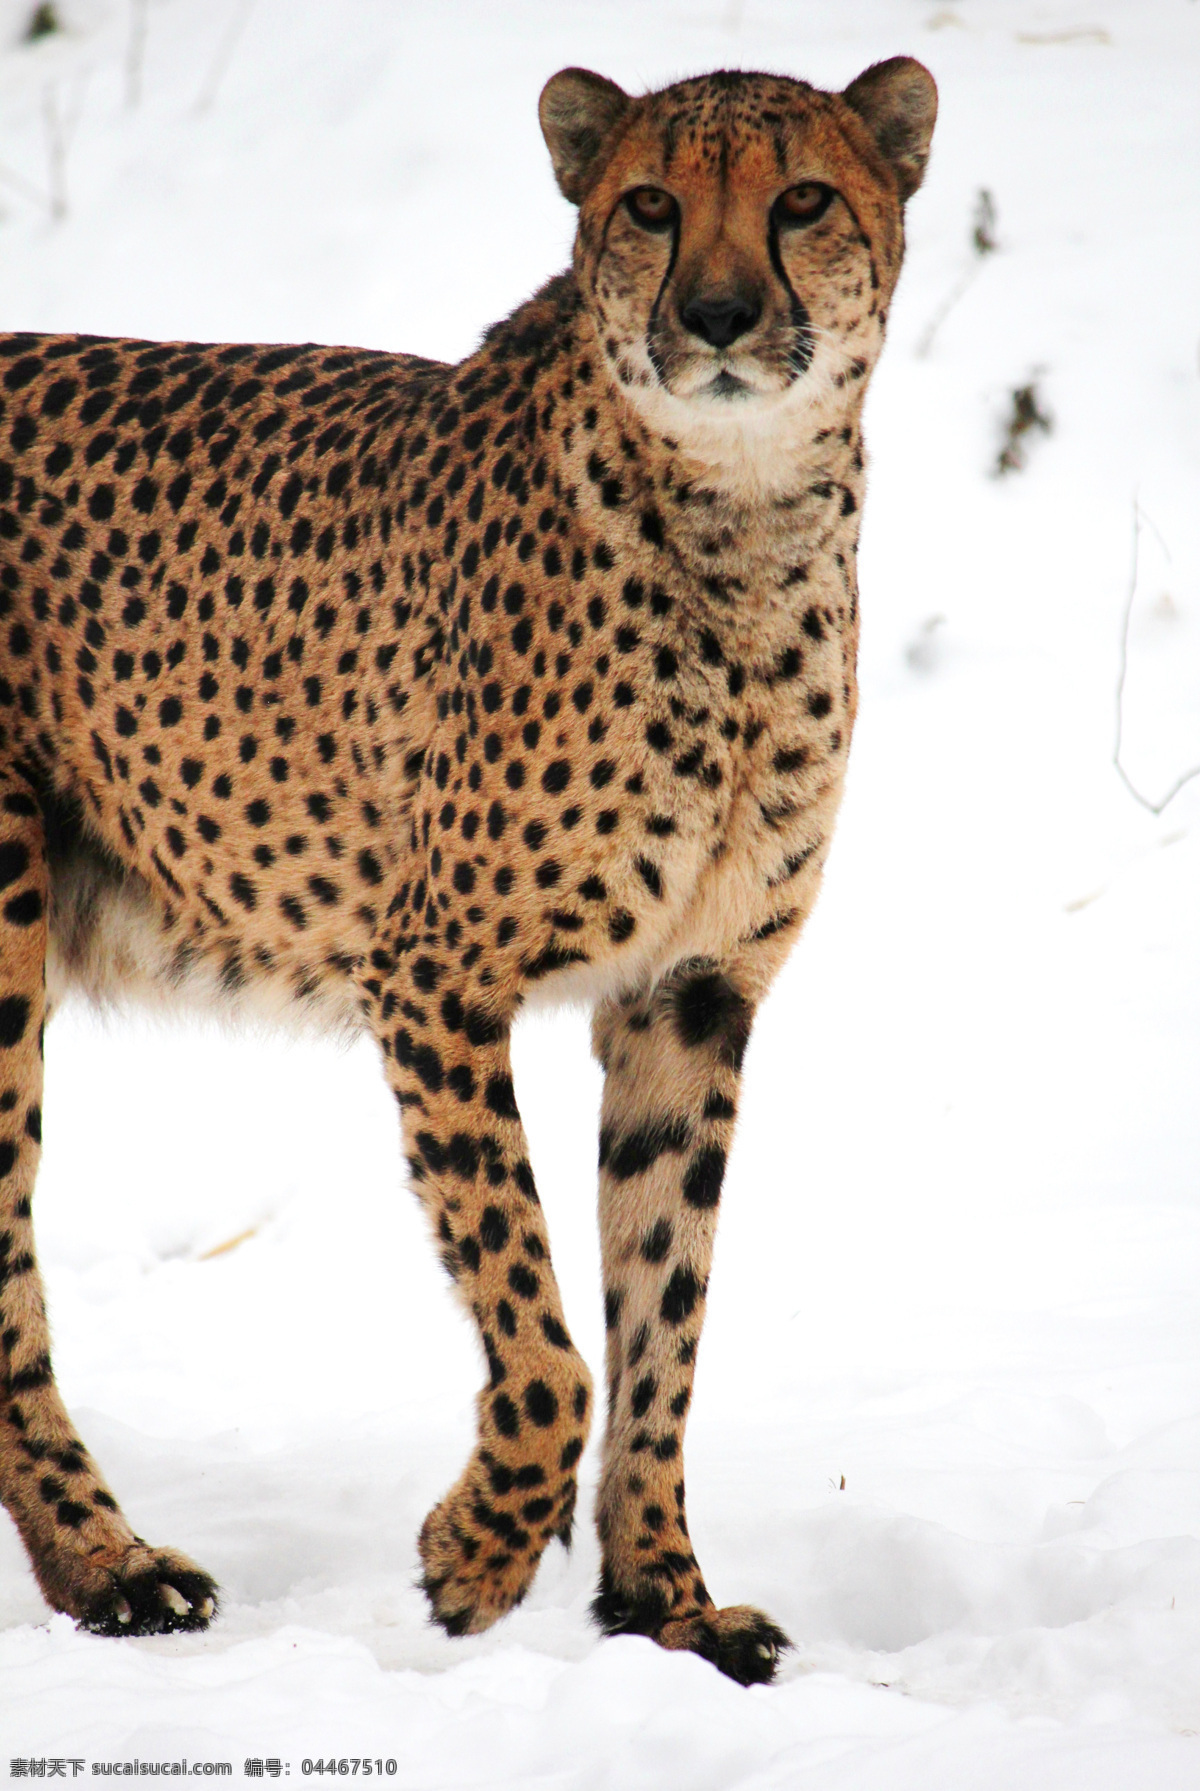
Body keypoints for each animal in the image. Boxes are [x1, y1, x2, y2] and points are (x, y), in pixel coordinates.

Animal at [0, 59, 938, 1676]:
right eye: (652, 204)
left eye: (805, 198)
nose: (718, 316)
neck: (742, 518)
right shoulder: (435, 976)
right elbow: (541, 1316)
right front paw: (483, 1552)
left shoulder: (694, 989)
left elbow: (662, 1303)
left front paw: (664, 1597)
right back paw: (109, 1566)